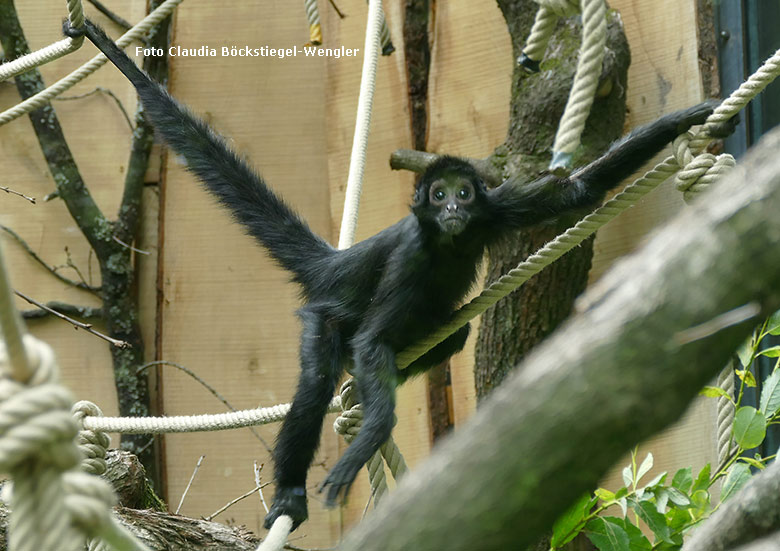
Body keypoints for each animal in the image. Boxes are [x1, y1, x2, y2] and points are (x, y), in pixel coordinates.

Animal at [65, 19, 724, 532]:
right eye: (439, 195)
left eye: (464, 193)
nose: (453, 206)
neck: (449, 240)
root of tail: (335, 262)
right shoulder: (413, 255)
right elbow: (374, 338)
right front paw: (366, 441)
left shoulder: (495, 210)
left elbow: (579, 191)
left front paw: (690, 117)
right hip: (323, 313)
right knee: (319, 376)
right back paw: (292, 489)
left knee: (451, 335)